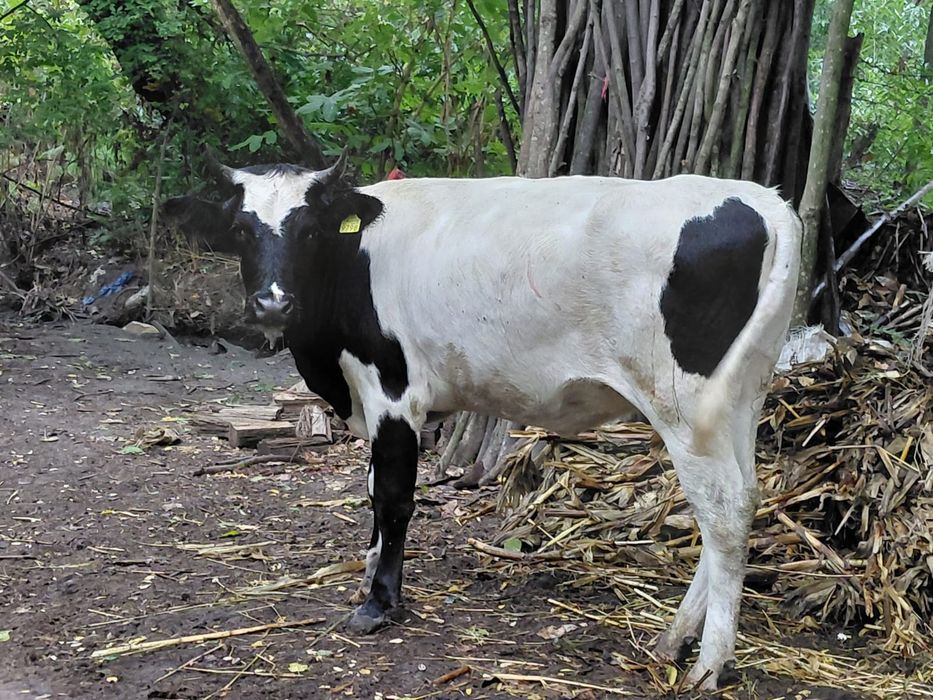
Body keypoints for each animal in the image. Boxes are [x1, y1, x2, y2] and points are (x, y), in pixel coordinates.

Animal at [165, 156, 801, 689]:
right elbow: (371, 488)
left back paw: (709, 663)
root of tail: (759, 198)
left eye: (310, 232)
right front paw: (368, 570)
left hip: (684, 405)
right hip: (740, 396)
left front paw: (379, 601)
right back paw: (675, 638)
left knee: (721, 513)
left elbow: (392, 496)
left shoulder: (394, 391)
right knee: (744, 498)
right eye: (242, 230)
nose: (272, 304)